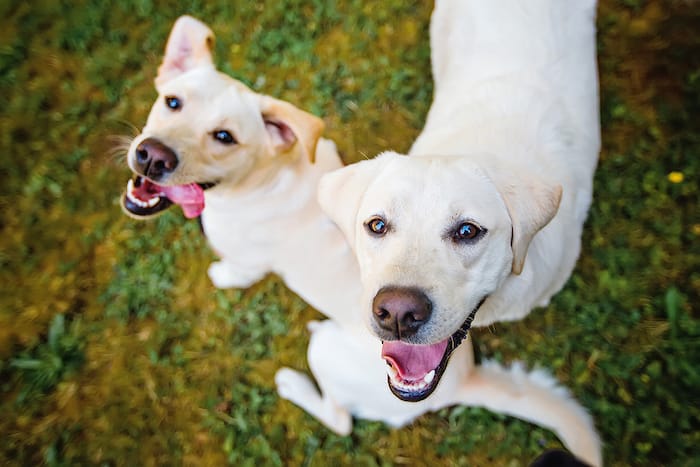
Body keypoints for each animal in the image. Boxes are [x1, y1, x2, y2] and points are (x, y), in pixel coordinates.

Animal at [121, 12, 600, 466]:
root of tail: (461, 380)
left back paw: (293, 384)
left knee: (340, 419)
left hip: (324, 351)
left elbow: (234, 272)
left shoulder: (246, 263)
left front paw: (220, 276)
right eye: (172, 103)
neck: (268, 175)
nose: (152, 156)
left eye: (224, 137)